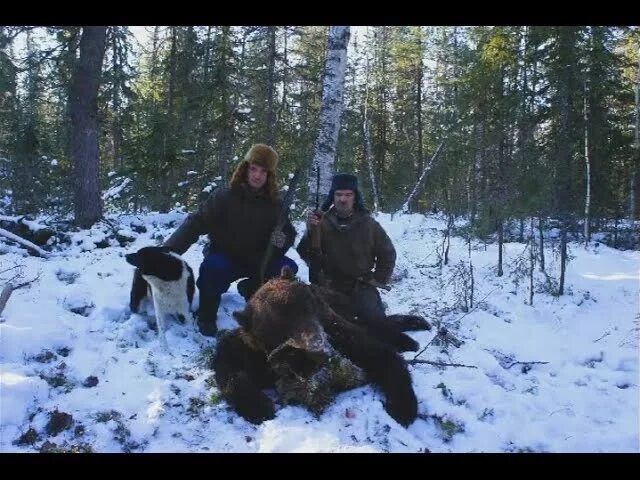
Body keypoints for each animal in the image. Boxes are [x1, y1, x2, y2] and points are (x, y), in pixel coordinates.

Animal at [211, 266, 430, 428]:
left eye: (305, 307)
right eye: (280, 327)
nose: (318, 346)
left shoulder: (337, 333)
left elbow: (379, 354)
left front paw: (403, 407)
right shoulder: (250, 352)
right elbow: (227, 365)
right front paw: (259, 407)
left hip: (340, 306)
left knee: (373, 322)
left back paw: (411, 333)